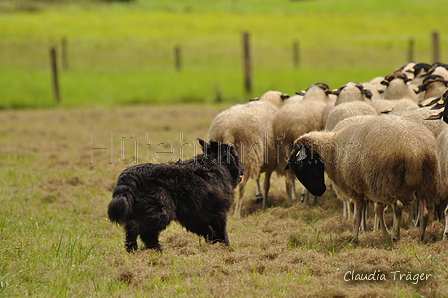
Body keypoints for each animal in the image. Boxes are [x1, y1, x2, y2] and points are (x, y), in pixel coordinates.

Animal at [108, 139, 243, 253]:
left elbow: (208, 230)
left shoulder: (195, 215)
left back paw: (156, 250)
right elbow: (222, 231)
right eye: (236, 156)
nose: (243, 167)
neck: (215, 165)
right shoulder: (219, 212)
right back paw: (133, 249)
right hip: (160, 211)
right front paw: (226, 248)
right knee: (135, 227)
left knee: (147, 233)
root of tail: (128, 177)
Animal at [288, 114, 438, 242]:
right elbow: (378, 211)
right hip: (423, 182)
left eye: (301, 165)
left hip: (385, 181)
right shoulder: (371, 190)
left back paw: (396, 236)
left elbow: (357, 216)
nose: (318, 191)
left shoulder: (356, 189)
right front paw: (383, 234)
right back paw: (421, 237)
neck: (332, 150)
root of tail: (414, 149)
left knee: (398, 206)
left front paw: (354, 238)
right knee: (424, 212)